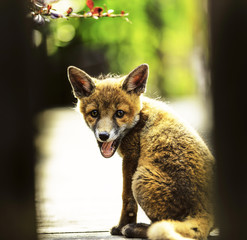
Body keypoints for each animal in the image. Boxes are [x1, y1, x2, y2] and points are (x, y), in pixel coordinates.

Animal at [67, 62, 214, 239]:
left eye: (120, 113)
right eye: (94, 113)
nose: (104, 136)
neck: (140, 118)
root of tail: (205, 212)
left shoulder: (131, 157)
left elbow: (127, 199)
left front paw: (121, 226)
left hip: (140, 178)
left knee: (165, 224)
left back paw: (134, 228)